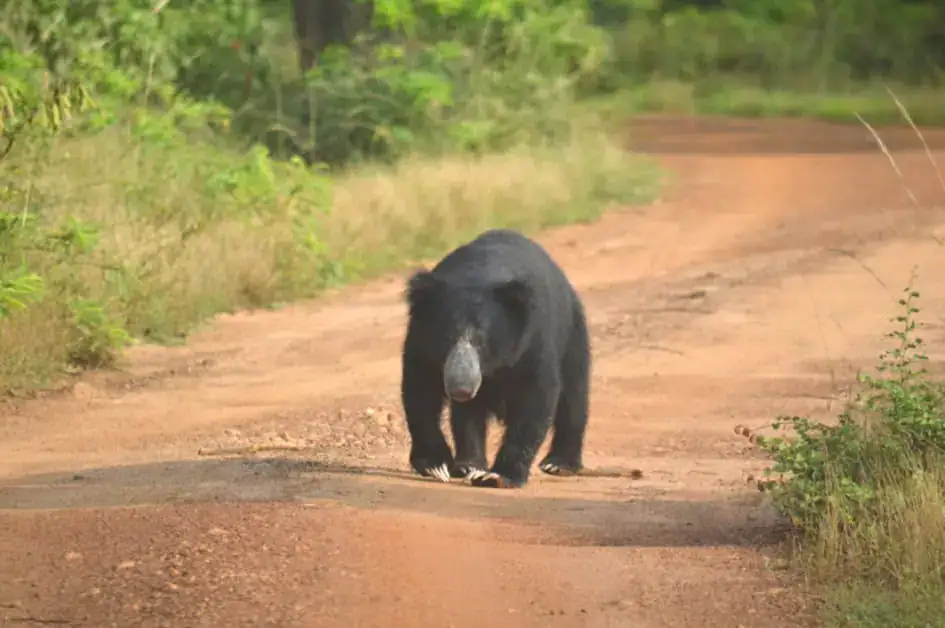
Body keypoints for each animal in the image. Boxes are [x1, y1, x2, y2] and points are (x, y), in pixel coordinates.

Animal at [399, 228, 591, 489]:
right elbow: (420, 388)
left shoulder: (534, 339)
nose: (461, 388)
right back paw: (468, 464)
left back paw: (559, 464)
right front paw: (437, 466)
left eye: (482, 341)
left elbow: (535, 396)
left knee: (573, 396)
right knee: (467, 415)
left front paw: (498, 475)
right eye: (446, 338)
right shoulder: (419, 340)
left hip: (573, 334)